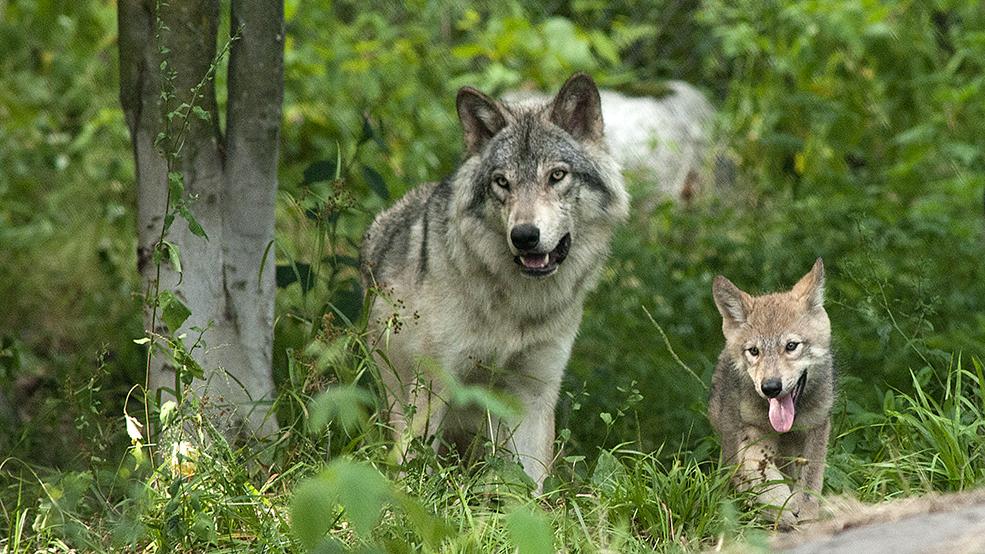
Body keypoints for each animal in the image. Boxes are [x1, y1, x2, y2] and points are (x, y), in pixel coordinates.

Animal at [358, 72, 628, 488]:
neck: (518, 305)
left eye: (557, 175)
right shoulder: (433, 389)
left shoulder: (534, 395)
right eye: (502, 182)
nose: (525, 236)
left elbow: (531, 486)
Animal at [712, 258, 836, 528]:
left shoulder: (817, 428)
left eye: (791, 346)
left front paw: (805, 513)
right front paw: (783, 509)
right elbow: (764, 479)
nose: (770, 387)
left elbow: (809, 484)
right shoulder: (752, 434)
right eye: (754, 351)